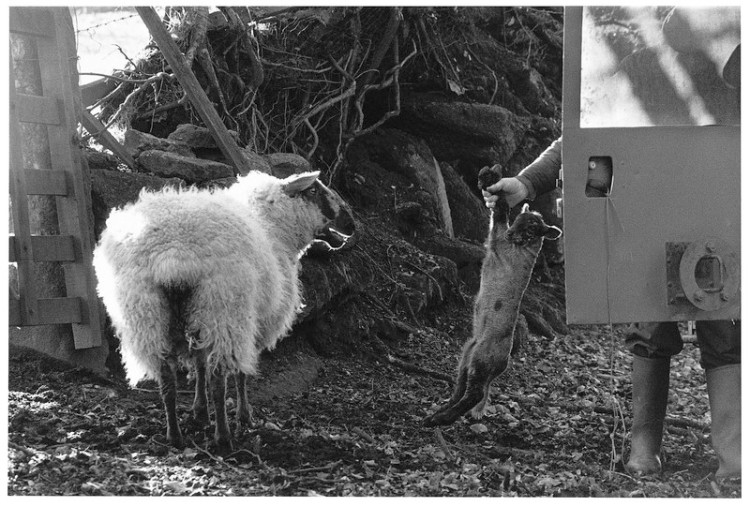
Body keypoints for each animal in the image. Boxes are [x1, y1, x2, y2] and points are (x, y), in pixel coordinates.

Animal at [93, 170, 355, 451]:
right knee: (219, 378)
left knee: (167, 377)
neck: (273, 227)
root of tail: (172, 254)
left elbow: (199, 365)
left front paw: (199, 411)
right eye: (314, 191)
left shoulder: (199, 323)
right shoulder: (254, 324)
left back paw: (174, 435)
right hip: (224, 307)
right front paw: (244, 415)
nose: (352, 223)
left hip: (146, 313)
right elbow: (240, 373)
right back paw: (223, 436)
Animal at [423, 165, 561, 427]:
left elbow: (500, 209)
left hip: (481, 362)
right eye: (519, 220)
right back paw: (439, 412)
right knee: (462, 390)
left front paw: (490, 177)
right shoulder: (498, 233)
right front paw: (489, 175)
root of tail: (502, 364)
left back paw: (439, 419)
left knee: (474, 393)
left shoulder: (498, 237)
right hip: (466, 357)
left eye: (531, 228)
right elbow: (499, 213)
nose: (511, 235)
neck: (520, 244)